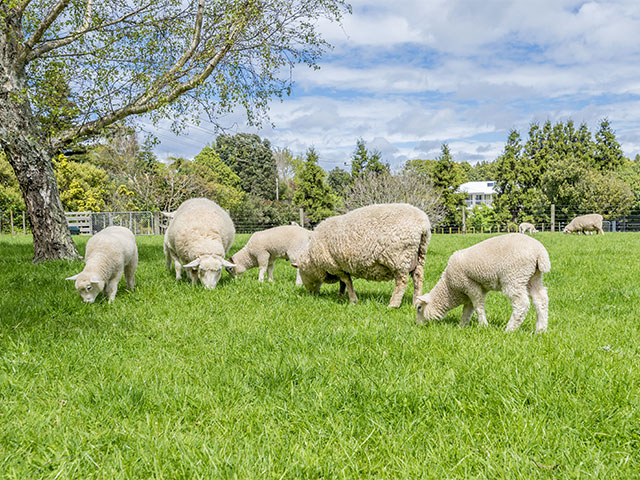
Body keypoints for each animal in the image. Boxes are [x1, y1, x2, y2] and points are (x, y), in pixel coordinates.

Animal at [295, 203, 432, 308]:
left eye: (301, 273)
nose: (311, 294)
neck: (313, 258)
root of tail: (423, 224)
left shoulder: (336, 266)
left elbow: (347, 282)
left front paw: (352, 300)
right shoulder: (341, 266)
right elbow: (343, 283)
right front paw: (341, 295)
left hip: (399, 257)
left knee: (402, 281)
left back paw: (393, 305)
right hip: (418, 255)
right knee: (418, 277)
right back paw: (416, 302)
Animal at [415, 233, 550, 333]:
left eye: (419, 307)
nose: (418, 326)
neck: (449, 288)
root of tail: (540, 252)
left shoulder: (470, 285)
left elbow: (478, 306)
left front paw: (483, 325)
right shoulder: (472, 290)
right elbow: (467, 309)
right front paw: (461, 326)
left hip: (514, 277)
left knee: (522, 303)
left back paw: (509, 329)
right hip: (533, 277)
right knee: (541, 299)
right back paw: (540, 330)